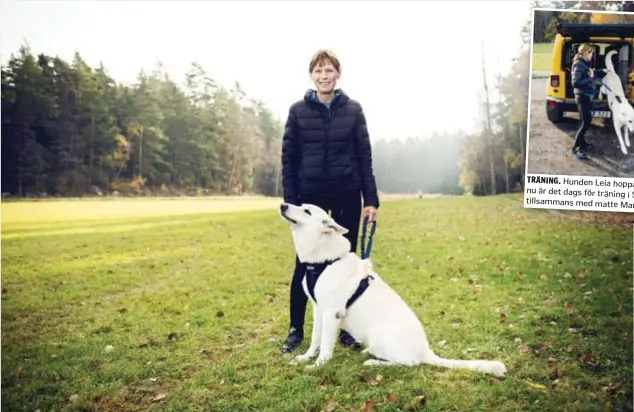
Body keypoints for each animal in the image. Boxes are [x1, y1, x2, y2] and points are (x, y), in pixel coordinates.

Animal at [278, 202, 506, 376]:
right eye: (300, 205)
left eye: (307, 211)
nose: (283, 205)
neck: (324, 261)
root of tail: (426, 352)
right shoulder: (319, 310)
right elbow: (315, 340)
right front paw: (305, 358)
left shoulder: (332, 314)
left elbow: (325, 346)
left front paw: (317, 366)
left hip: (380, 337)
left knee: (410, 363)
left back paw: (374, 362)